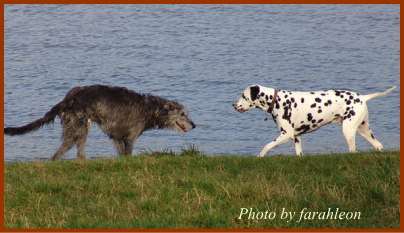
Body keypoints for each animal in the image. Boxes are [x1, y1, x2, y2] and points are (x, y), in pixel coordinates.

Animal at [4, 85, 196, 160]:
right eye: (183, 114)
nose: (194, 125)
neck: (151, 109)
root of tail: (67, 99)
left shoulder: (117, 137)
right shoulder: (130, 136)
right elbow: (129, 153)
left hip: (79, 128)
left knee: (76, 152)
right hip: (78, 126)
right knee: (62, 151)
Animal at [234, 83, 394, 157]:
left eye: (243, 96)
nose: (233, 105)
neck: (277, 101)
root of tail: (362, 97)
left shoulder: (285, 134)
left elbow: (267, 146)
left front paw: (260, 156)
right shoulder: (296, 137)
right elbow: (299, 153)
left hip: (348, 130)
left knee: (353, 150)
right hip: (364, 129)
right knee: (378, 145)